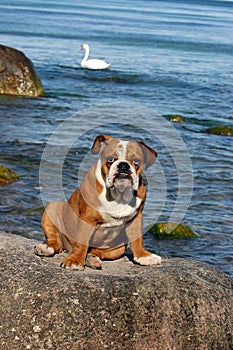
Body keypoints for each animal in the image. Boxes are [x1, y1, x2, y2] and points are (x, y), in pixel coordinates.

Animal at [35, 135, 162, 270]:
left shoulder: (136, 218)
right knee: (55, 240)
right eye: (110, 160)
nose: (123, 166)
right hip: (52, 209)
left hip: (118, 249)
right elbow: (82, 241)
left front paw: (144, 256)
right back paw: (46, 247)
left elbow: (137, 240)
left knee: (96, 252)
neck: (118, 194)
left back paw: (92, 260)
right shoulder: (86, 219)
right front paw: (75, 261)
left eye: (136, 162)